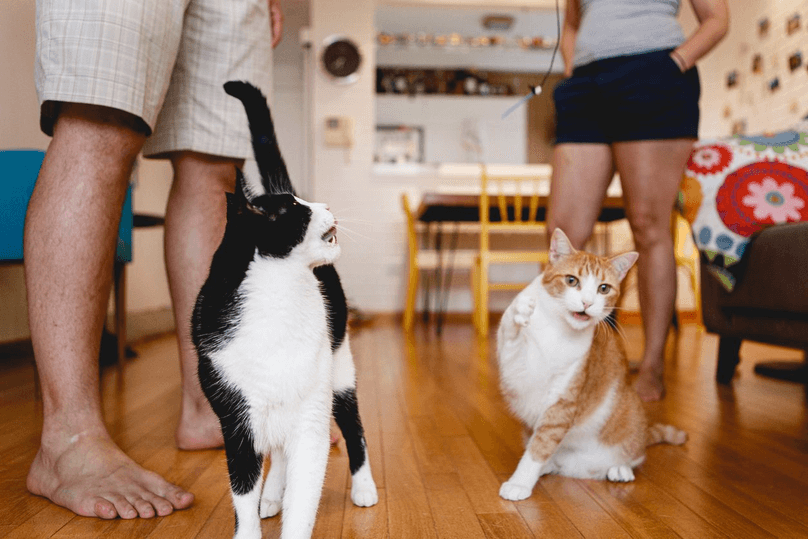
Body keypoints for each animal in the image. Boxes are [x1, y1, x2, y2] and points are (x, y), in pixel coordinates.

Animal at [193, 81, 378, 539]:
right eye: (299, 208)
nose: (326, 203)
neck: (280, 298)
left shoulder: (311, 418)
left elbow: (304, 495)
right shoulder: (236, 424)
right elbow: (242, 493)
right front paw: (255, 513)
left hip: (340, 371)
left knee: (355, 430)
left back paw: (364, 488)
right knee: (276, 454)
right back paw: (272, 495)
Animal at [496, 228, 684, 502]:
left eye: (603, 288)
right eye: (571, 281)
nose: (586, 303)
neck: (558, 329)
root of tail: (575, 468)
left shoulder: (563, 402)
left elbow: (540, 446)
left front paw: (520, 482)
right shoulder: (517, 371)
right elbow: (510, 335)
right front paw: (518, 311)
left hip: (630, 411)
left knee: (634, 455)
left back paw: (619, 469)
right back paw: (552, 466)